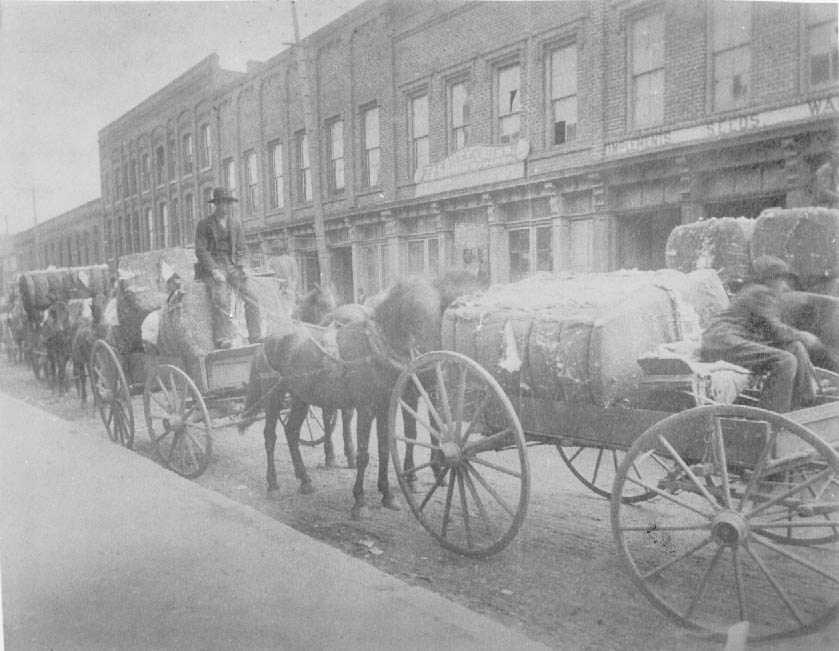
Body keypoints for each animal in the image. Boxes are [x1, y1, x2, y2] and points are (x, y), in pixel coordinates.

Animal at [240, 276, 442, 520]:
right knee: (270, 436)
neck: (374, 348)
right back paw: (273, 485)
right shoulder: (366, 408)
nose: (430, 366)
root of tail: (268, 339)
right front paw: (360, 502)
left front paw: (387, 494)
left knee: (292, 431)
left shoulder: (384, 406)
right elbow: (364, 453)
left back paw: (305, 480)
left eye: (438, 306)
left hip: (300, 396)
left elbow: (384, 449)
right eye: (415, 305)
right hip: (274, 397)